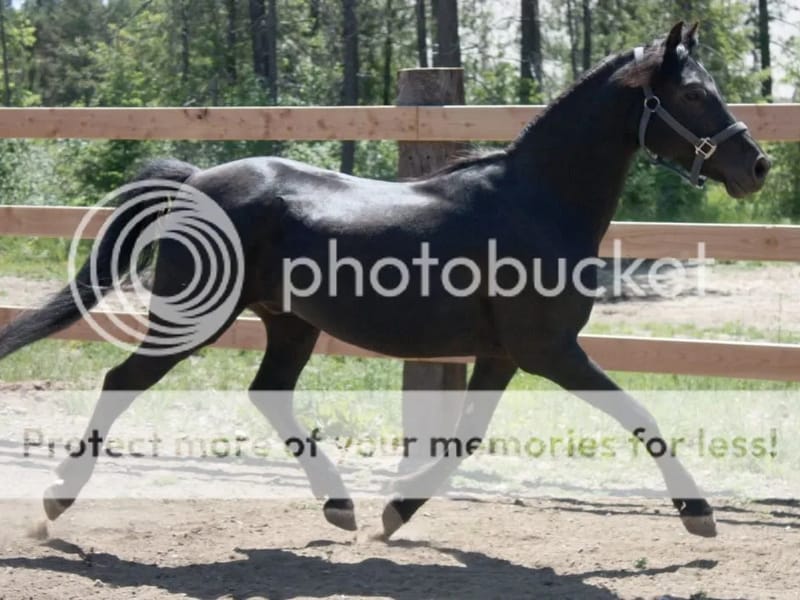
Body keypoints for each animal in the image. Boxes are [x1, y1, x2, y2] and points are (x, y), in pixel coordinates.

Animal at [0, 22, 770, 540]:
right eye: (693, 93)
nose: (756, 167)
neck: (539, 202)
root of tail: (196, 180)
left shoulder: (502, 354)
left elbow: (464, 439)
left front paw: (395, 513)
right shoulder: (549, 350)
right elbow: (640, 415)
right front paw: (699, 514)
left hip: (290, 322)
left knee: (267, 393)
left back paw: (340, 506)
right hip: (198, 317)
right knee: (122, 381)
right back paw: (55, 504)